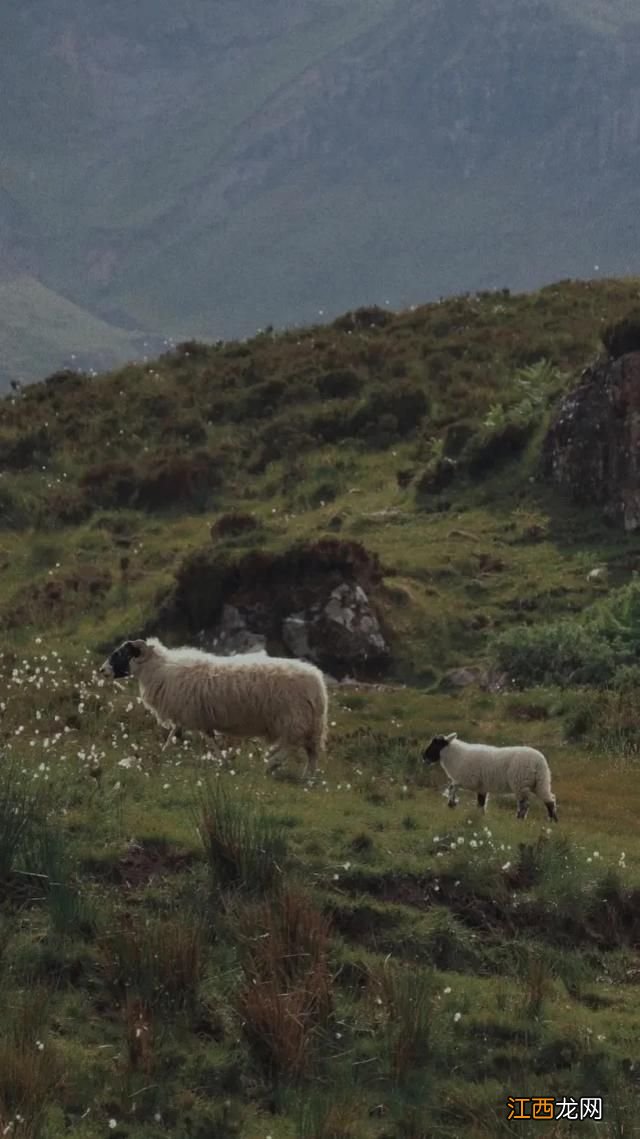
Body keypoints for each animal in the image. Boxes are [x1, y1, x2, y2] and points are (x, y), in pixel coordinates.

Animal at [100, 637, 327, 779]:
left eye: (120, 653)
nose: (102, 670)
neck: (159, 670)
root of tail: (317, 682)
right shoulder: (191, 716)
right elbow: (178, 735)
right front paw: (162, 754)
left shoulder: (191, 715)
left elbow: (204, 740)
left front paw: (223, 762)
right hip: (310, 724)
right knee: (312, 752)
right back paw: (307, 777)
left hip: (294, 719)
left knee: (293, 745)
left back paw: (272, 764)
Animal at [421, 733, 555, 824]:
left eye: (436, 744)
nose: (423, 757)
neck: (456, 756)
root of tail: (539, 762)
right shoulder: (481, 787)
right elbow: (480, 803)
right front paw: (480, 816)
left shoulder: (469, 779)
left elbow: (452, 786)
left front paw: (452, 803)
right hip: (540, 782)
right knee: (549, 800)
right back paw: (553, 821)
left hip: (521, 783)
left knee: (525, 804)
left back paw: (519, 820)